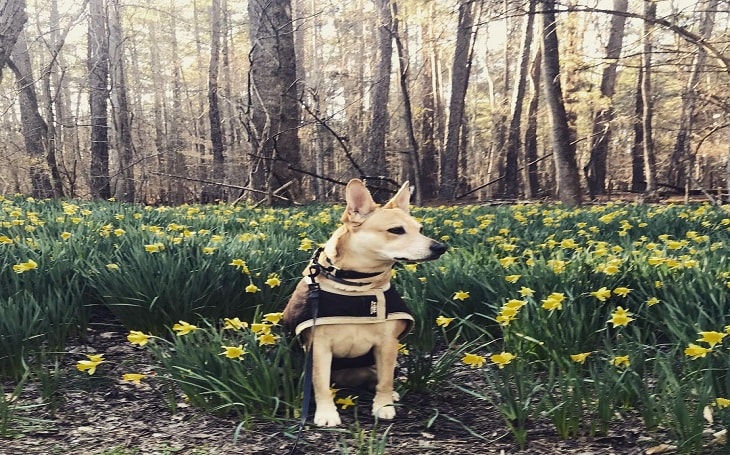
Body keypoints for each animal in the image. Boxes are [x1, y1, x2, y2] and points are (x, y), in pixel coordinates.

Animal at [282, 179, 446, 428]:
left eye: (420, 230)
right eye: (396, 230)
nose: (440, 247)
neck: (357, 285)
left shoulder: (387, 344)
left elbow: (385, 380)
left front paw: (383, 406)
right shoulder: (319, 347)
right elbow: (320, 383)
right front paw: (327, 413)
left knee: (377, 377)